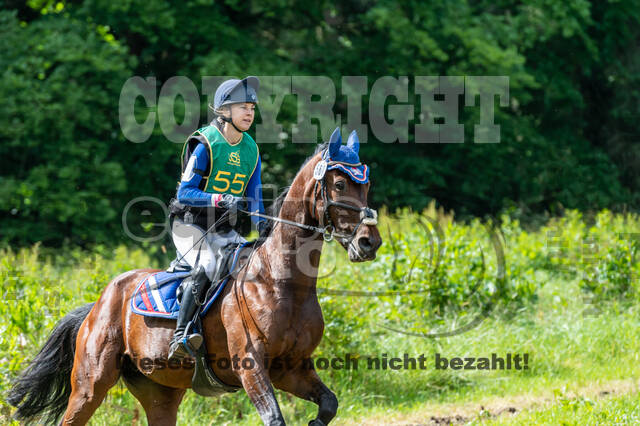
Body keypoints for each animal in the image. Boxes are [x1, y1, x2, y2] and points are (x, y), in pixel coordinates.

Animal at [8, 127, 382, 426]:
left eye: (366, 187)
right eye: (338, 184)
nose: (370, 242)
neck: (283, 282)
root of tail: (97, 304)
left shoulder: (291, 369)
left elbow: (329, 404)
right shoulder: (251, 366)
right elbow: (275, 418)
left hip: (160, 390)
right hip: (91, 384)